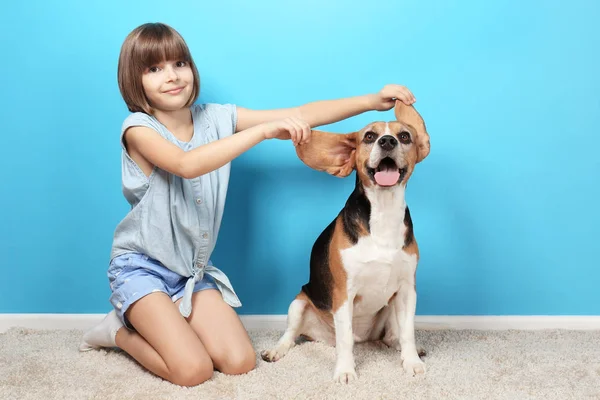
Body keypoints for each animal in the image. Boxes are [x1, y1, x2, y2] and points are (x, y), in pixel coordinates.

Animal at [262, 100, 432, 382]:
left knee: (392, 336)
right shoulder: (343, 293)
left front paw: (411, 362)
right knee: (292, 334)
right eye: (369, 137)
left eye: (405, 136)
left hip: (390, 306)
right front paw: (345, 370)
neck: (383, 211)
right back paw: (276, 350)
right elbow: (344, 341)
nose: (387, 141)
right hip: (298, 303)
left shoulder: (407, 289)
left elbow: (407, 331)